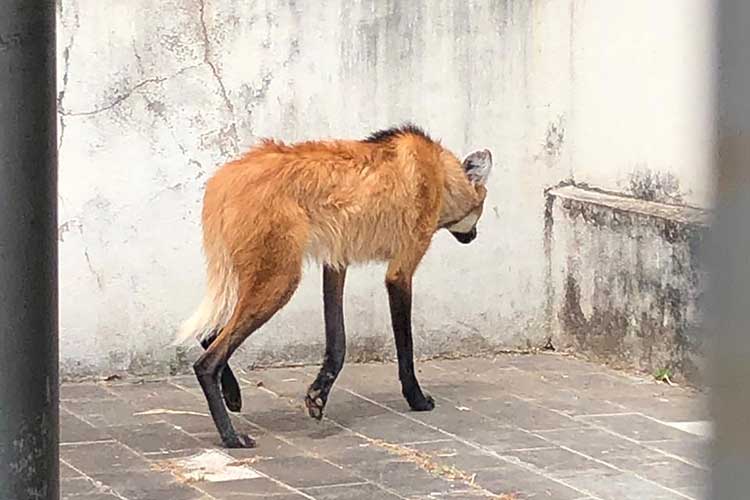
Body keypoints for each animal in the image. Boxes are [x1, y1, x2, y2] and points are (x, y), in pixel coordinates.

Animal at [176, 123, 494, 448]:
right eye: (482, 209)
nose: (474, 236)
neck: (441, 174)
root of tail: (224, 179)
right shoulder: (401, 269)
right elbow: (405, 345)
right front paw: (417, 399)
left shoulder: (337, 262)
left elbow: (337, 342)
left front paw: (318, 396)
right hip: (280, 282)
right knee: (207, 361)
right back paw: (231, 436)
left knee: (208, 332)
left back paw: (233, 395)